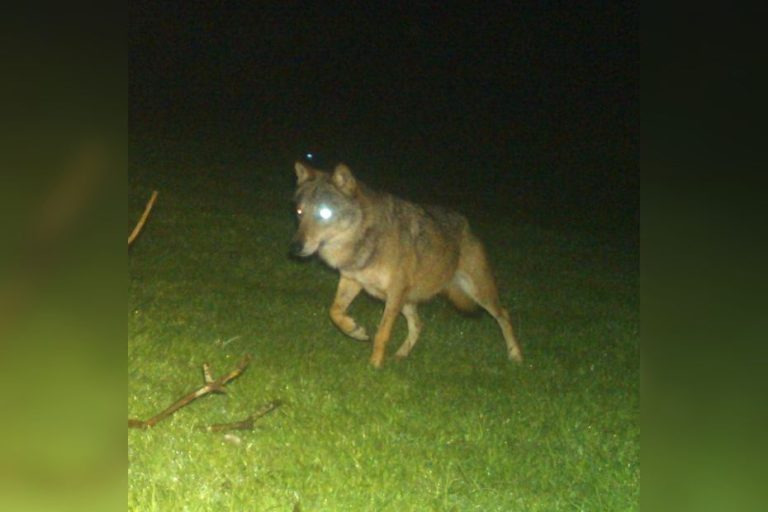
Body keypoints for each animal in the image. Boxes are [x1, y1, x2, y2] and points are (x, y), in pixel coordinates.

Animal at [292, 162, 524, 366]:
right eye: (299, 212)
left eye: (324, 213)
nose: (295, 247)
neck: (365, 239)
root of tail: (467, 226)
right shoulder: (352, 280)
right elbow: (334, 312)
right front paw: (355, 331)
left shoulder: (394, 293)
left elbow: (382, 334)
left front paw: (374, 367)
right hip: (408, 301)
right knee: (418, 325)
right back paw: (400, 355)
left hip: (479, 293)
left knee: (504, 315)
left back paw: (516, 356)